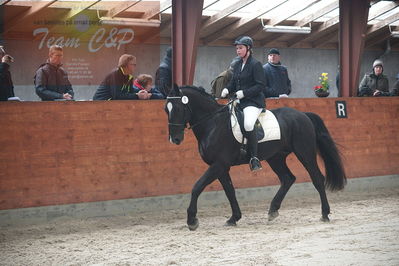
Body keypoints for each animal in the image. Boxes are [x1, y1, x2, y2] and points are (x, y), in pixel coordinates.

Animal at [166, 85, 346, 231]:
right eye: (165, 110)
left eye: (177, 109)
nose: (175, 139)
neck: (213, 123)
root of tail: (303, 114)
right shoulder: (221, 167)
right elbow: (229, 191)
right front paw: (234, 218)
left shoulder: (219, 164)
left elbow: (197, 187)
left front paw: (191, 220)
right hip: (276, 158)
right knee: (288, 178)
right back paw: (273, 210)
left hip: (305, 153)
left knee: (317, 178)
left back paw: (325, 214)